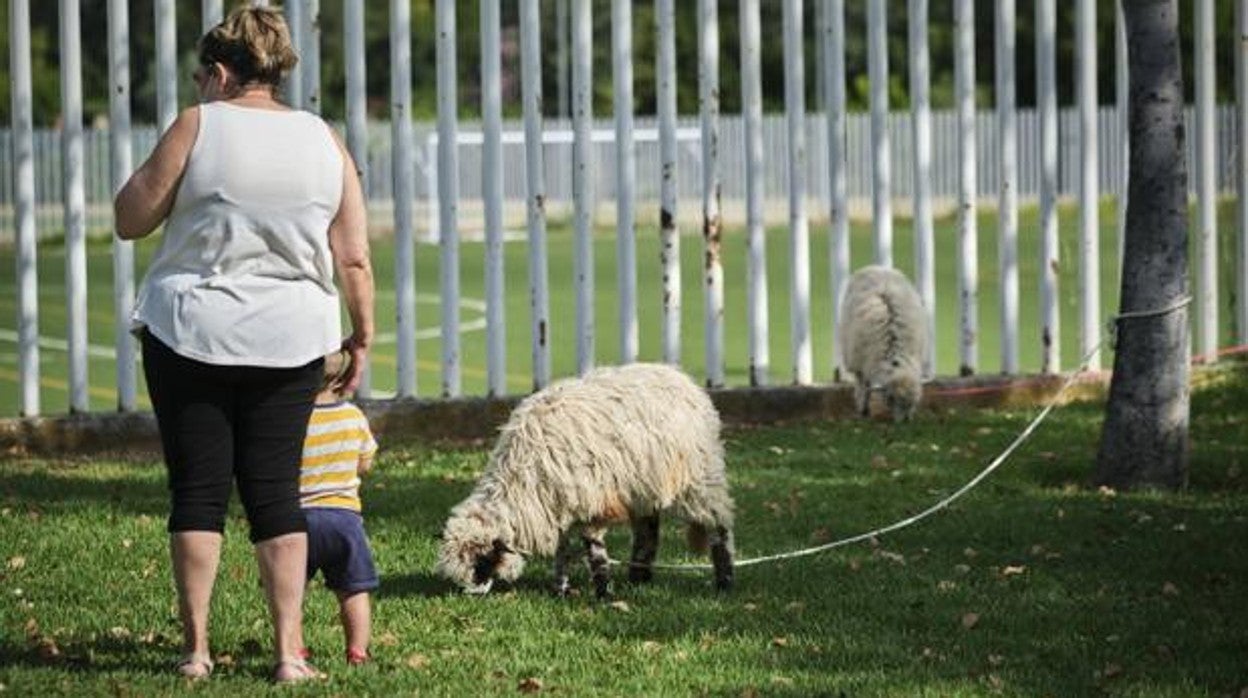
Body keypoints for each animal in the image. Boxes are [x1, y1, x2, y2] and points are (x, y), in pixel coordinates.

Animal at [436, 362, 733, 599]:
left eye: (482, 561)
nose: (472, 595)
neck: (522, 482)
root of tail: (681, 378)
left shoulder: (592, 501)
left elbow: (594, 550)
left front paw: (603, 593)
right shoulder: (558, 505)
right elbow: (562, 551)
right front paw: (561, 590)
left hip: (700, 476)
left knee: (718, 525)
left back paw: (725, 581)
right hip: (644, 483)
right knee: (648, 529)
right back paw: (639, 577)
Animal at [838, 265, 928, 419]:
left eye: (915, 400)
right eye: (891, 398)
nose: (906, 420)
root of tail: (878, 267)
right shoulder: (861, 363)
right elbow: (864, 387)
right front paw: (863, 410)